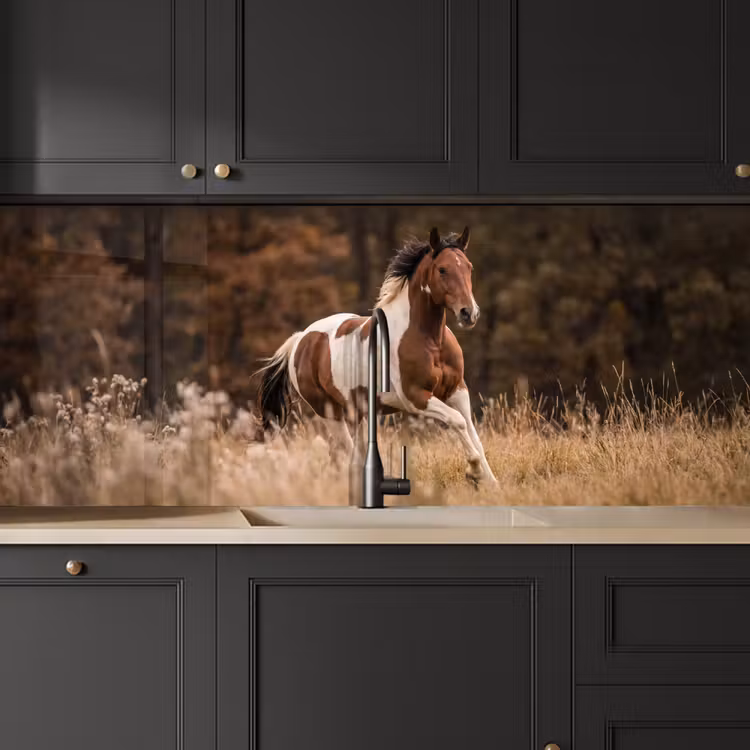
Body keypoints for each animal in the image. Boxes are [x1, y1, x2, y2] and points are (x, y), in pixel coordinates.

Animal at [254, 226, 497, 484]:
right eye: (442, 269)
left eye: (469, 267)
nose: (469, 313)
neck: (431, 341)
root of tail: (300, 339)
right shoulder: (415, 397)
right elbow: (457, 421)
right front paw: (474, 470)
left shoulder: (457, 391)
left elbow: (473, 433)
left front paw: (491, 483)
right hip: (330, 412)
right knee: (347, 450)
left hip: (358, 412)